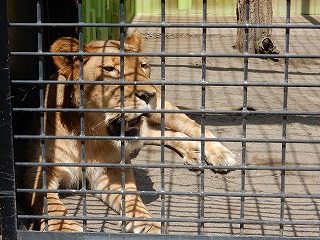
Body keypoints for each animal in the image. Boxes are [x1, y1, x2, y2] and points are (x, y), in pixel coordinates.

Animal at [21, 31, 235, 233]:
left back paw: (220, 154)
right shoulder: (36, 170)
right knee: (165, 135)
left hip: (163, 109)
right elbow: (47, 200)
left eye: (143, 66)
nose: (149, 95)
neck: (91, 136)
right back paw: (193, 153)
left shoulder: (112, 168)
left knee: (191, 125)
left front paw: (148, 224)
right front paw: (64, 228)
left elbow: (131, 197)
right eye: (110, 69)